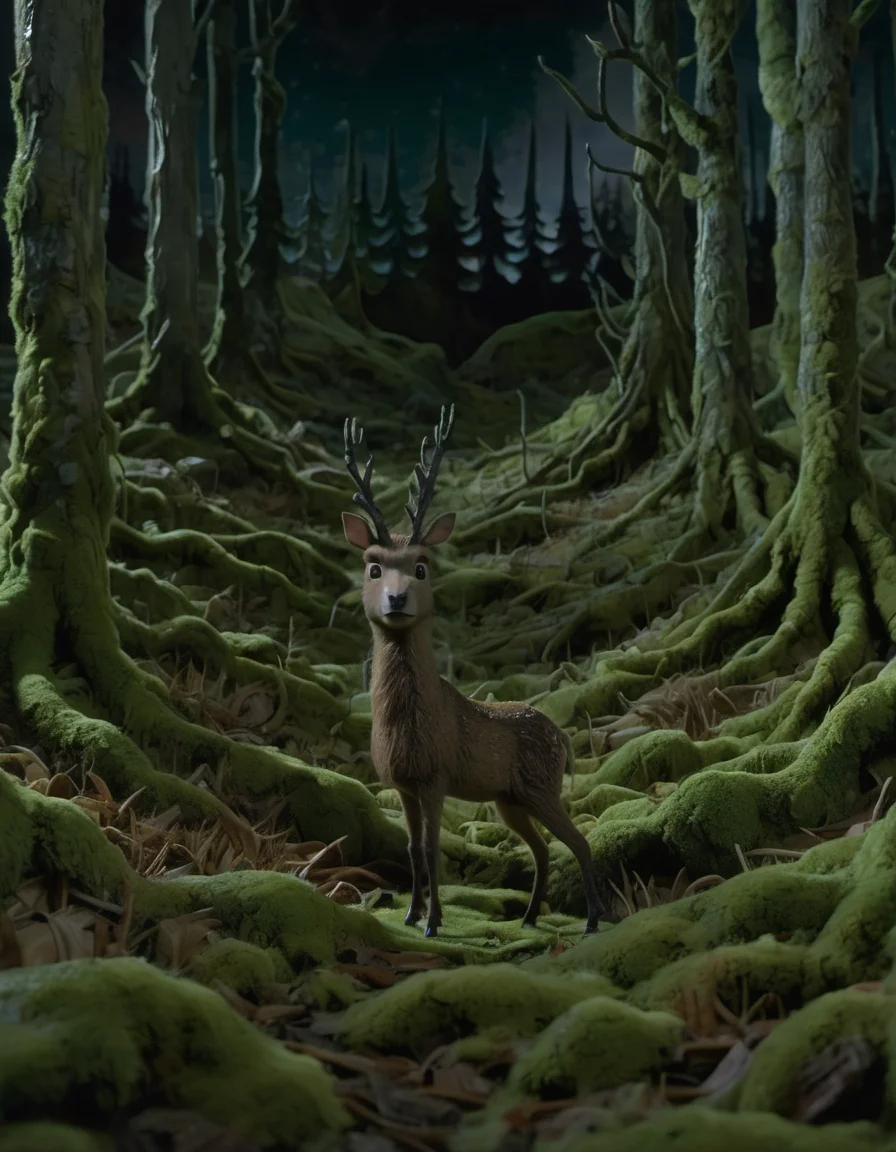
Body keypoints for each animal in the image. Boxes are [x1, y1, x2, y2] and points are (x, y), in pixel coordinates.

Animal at [341, 404, 605, 938]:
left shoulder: (436, 775)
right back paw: (528, 916)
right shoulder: (401, 783)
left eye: (422, 566)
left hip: (540, 785)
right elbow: (412, 849)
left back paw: (591, 920)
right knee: (542, 846)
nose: (396, 599)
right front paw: (410, 913)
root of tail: (563, 739)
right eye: (373, 566)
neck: (406, 728)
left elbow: (431, 850)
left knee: (578, 840)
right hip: (510, 799)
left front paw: (433, 922)